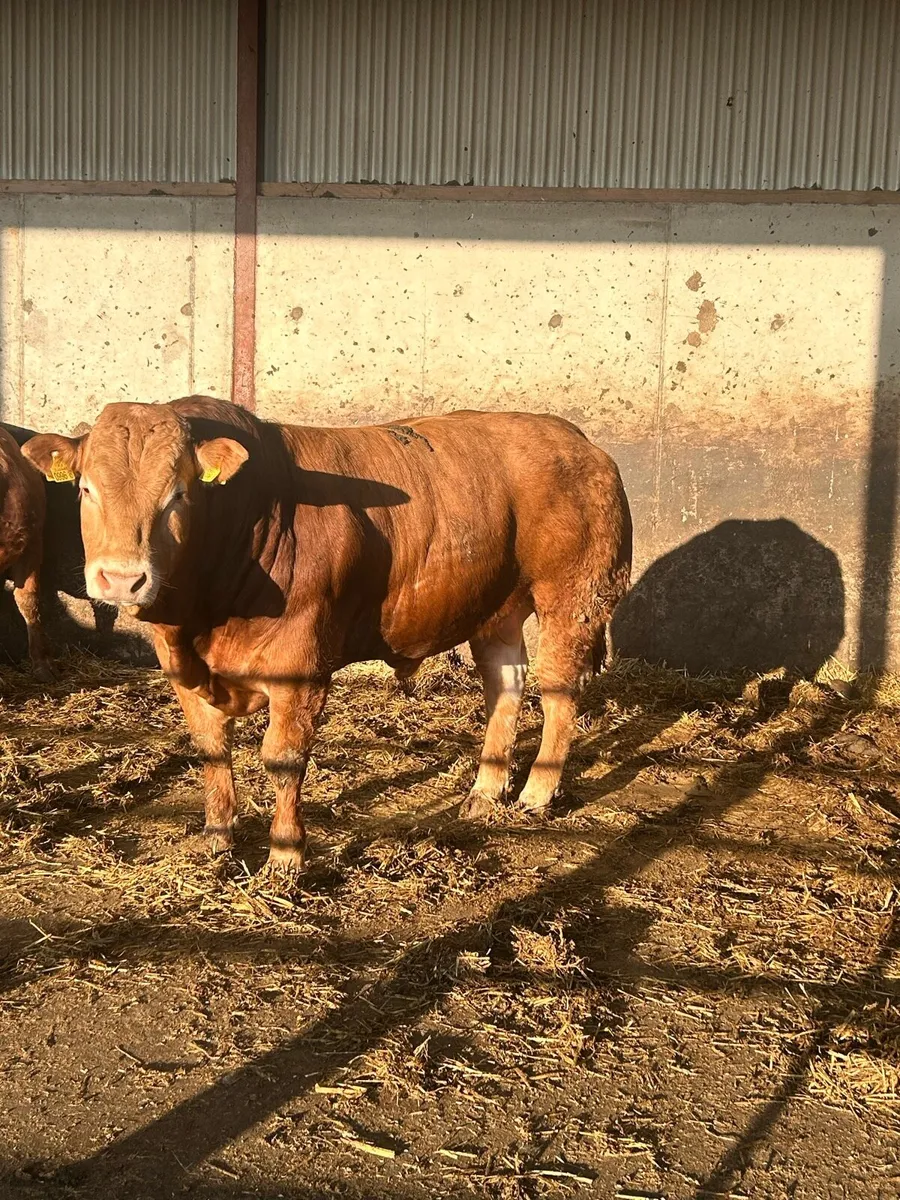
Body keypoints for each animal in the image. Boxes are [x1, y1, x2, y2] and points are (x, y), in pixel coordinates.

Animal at [22, 398, 632, 871]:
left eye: (178, 494)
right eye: (85, 490)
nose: (122, 578)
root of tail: (578, 440)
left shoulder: (302, 665)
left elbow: (284, 757)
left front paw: (285, 856)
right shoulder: (182, 669)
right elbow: (212, 750)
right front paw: (217, 839)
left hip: (572, 595)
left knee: (558, 690)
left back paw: (536, 792)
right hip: (496, 607)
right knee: (506, 685)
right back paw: (485, 792)